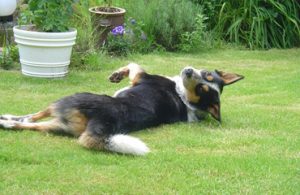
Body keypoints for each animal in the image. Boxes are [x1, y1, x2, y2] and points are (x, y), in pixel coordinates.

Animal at [0, 63, 244, 155]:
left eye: (203, 86)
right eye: (207, 76)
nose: (189, 71)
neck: (183, 95)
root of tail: (104, 119)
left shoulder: (140, 76)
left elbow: (133, 65)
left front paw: (117, 75)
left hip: (66, 100)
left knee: (31, 118)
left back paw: (5, 120)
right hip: (59, 124)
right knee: (29, 124)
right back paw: (8, 121)